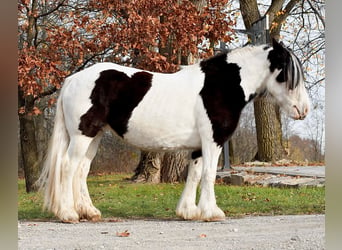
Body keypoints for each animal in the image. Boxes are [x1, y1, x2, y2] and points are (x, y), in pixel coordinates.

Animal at [36, 38, 310, 223]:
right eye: (286, 75)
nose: (303, 110)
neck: (220, 85)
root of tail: (73, 79)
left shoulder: (199, 146)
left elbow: (195, 175)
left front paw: (188, 211)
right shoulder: (213, 141)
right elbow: (209, 175)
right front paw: (212, 212)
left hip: (94, 136)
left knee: (81, 170)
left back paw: (89, 212)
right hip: (83, 135)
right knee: (68, 167)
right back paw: (68, 214)